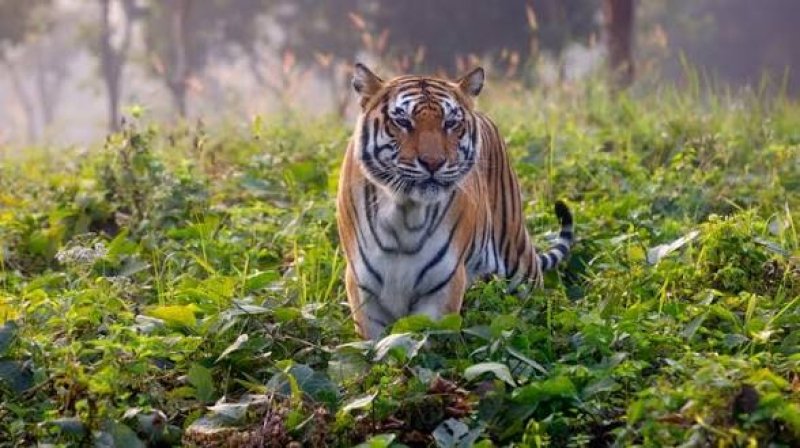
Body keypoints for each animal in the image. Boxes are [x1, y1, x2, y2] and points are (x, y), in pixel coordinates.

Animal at [337, 63, 574, 340]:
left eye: (450, 123)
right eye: (403, 121)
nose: (433, 163)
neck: (406, 213)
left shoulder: (443, 288)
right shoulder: (363, 289)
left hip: (519, 262)